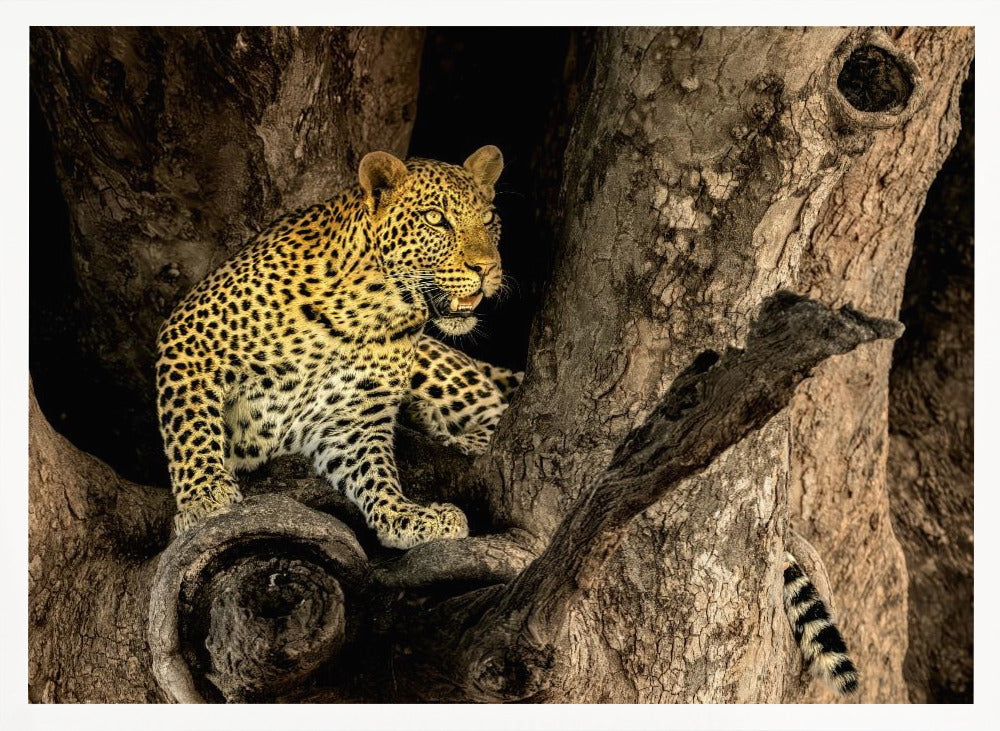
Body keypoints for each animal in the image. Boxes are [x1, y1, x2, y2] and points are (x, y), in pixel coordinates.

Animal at [155, 145, 522, 549]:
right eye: (435, 219)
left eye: (488, 219)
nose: (487, 268)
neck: (369, 309)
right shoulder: (190, 337)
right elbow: (191, 426)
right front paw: (204, 498)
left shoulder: (350, 417)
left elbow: (374, 471)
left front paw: (405, 516)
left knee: (495, 413)